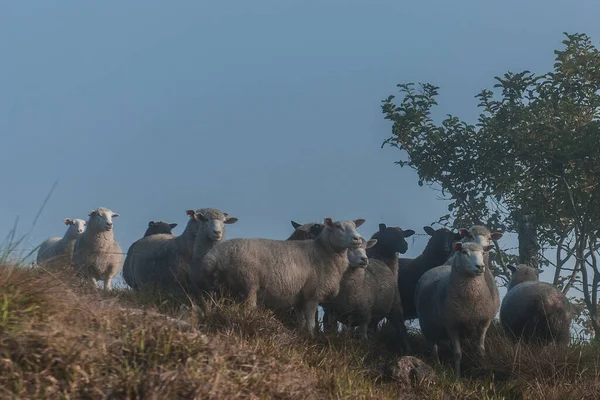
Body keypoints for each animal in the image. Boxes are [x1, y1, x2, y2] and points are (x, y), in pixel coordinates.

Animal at [197, 217, 366, 336]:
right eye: (338, 227)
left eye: (355, 226)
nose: (357, 239)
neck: (324, 251)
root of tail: (213, 256)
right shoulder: (312, 295)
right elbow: (311, 324)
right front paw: (312, 338)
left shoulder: (300, 298)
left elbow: (301, 323)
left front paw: (302, 336)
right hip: (248, 282)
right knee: (249, 308)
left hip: (217, 289)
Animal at [418, 241, 496, 378]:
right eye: (464, 252)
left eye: (482, 253)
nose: (480, 266)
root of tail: (438, 267)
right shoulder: (452, 325)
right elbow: (458, 353)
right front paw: (457, 376)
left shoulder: (484, 322)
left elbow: (481, 350)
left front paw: (484, 371)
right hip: (429, 328)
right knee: (434, 349)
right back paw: (438, 367)